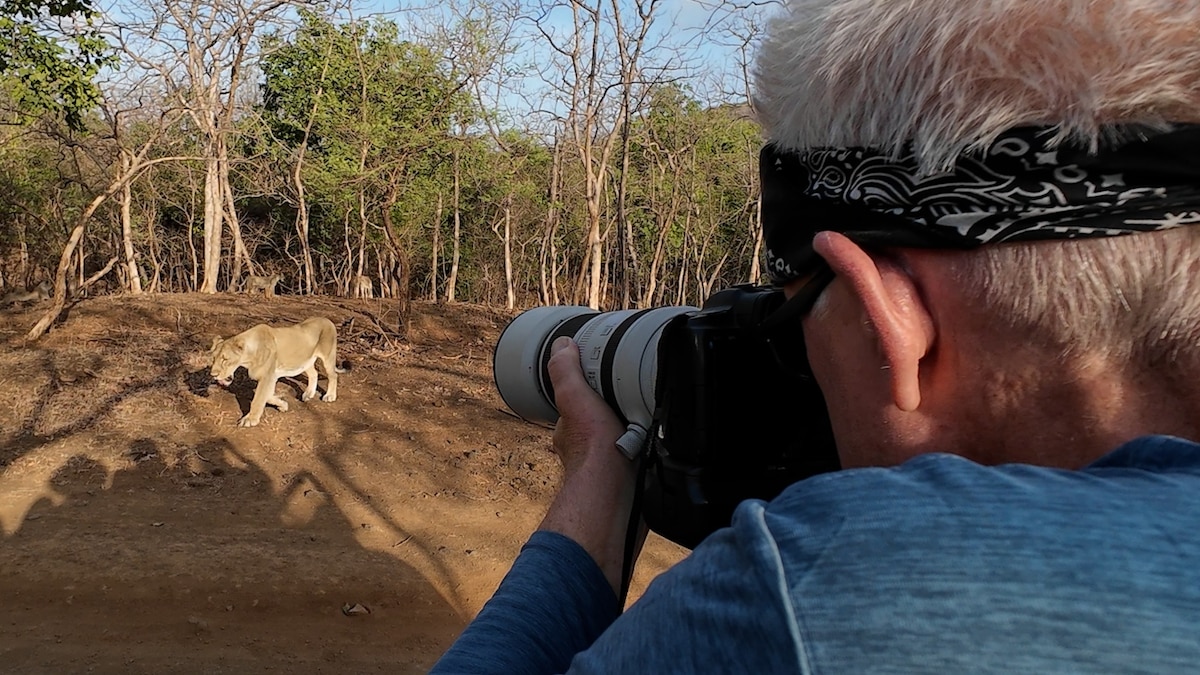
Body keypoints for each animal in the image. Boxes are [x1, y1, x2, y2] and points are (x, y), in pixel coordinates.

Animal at [209, 316, 346, 427]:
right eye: (213, 358)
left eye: (225, 359)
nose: (213, 375)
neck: (249, 357)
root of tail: (327, 319)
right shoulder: (272, 377)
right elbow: (268, 396)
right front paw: (283, 405)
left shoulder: (267, 377)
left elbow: (258, 398)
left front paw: (250, 420)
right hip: (305, 361)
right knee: (314, 373)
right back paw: (308, 394)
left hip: (328, 356)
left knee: (333, 375)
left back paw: (330, 396)